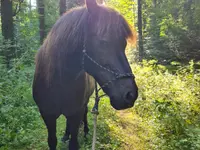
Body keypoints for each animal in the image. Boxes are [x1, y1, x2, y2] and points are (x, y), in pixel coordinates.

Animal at [32, 0, 138, 149]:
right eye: (103, 41)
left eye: (124, 44)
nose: (131, 95)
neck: (58, 83)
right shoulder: (47, 115)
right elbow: (52, 141)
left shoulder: (75, 113)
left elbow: (74, 141)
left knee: (85, 112)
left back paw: (86, 130)